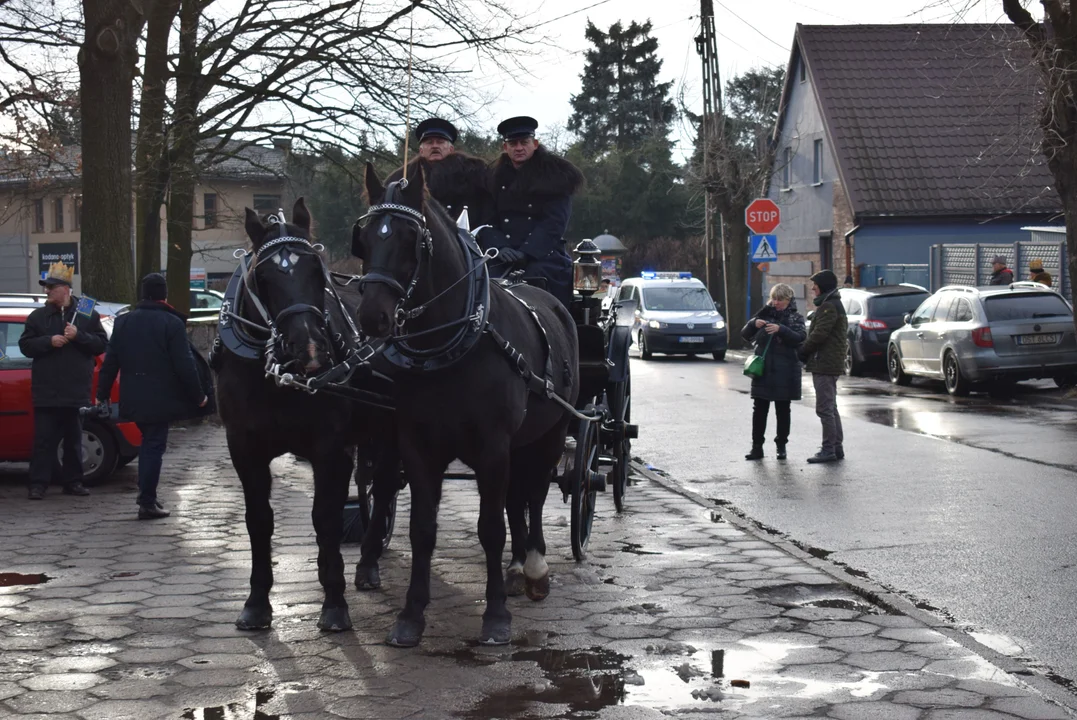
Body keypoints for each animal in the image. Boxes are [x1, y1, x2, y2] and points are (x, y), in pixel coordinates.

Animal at [216, 194, 398, 628]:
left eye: (317, 270)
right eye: (263, 277)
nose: (311, 349)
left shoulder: (329, 448)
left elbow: (326, 516)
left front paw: (334, 601)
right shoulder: (243, 448)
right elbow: (259, 520)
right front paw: (256, 602)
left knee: (383, 485)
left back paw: (366, 563)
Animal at [353, 164, 581, 645]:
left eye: (411, 238)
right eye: (362, 238)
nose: (371, 317)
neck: (451, 346)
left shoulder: (493, 447)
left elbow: (491, 528)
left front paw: (495, 617)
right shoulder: (418, 445)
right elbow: (422, 528)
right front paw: (411, 615)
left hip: (550, 433)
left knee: (534, 494)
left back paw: (534, 566)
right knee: (516, 497)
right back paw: (516, 566)